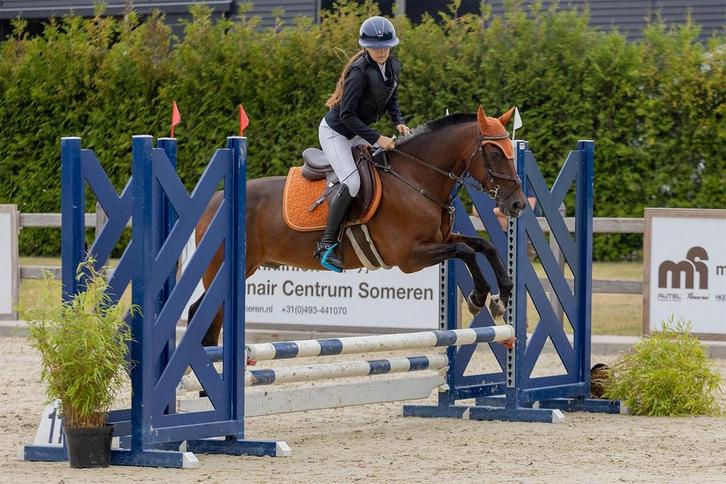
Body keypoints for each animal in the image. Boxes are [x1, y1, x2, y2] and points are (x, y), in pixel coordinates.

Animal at [192, 105, 527, 347]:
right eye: (495, 153)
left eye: (512, 152)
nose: (517, 205)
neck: (416, 178)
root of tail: (215, 200)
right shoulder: (410, 257)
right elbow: (464, 251)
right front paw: (479, 297)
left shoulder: (441, 238)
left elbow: (483, 245)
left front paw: (502, 297)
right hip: (221, 269)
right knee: (201, 316)